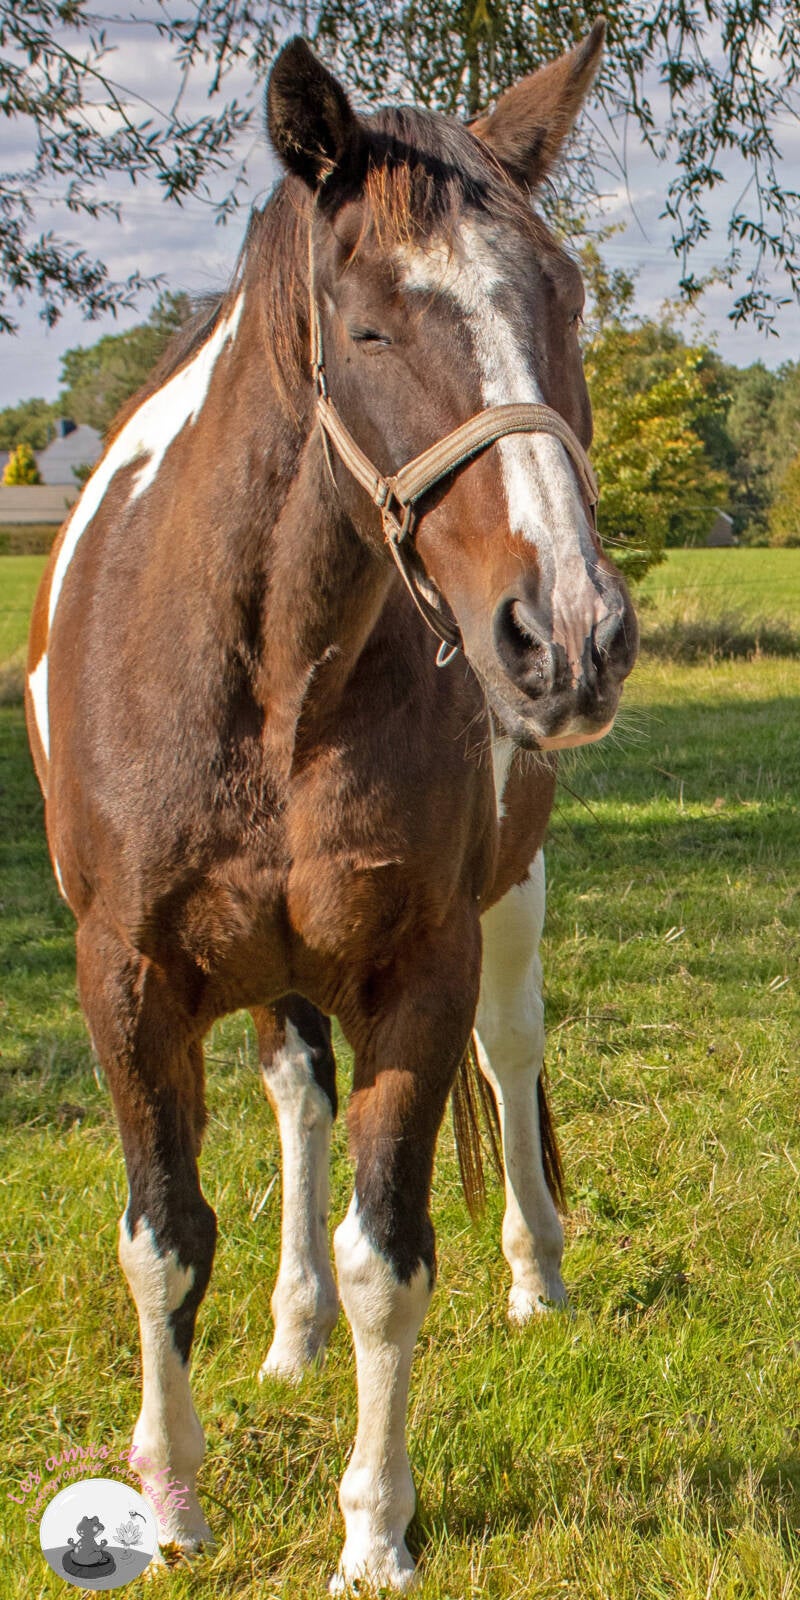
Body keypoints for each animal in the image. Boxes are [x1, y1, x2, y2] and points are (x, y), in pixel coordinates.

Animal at [25, 24, 637, 1591]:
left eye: (562, 301)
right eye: (365, 329)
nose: (570, 635)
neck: (269, 669)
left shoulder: (419, 960)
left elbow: (391, 1253)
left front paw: (375, 1528)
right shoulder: (125, 972)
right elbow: (165, 1235)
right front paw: (170, 1500)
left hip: (509, 898)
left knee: (508, 1053)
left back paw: (536, 1276)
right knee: (296, 1101)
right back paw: (289, 1336)